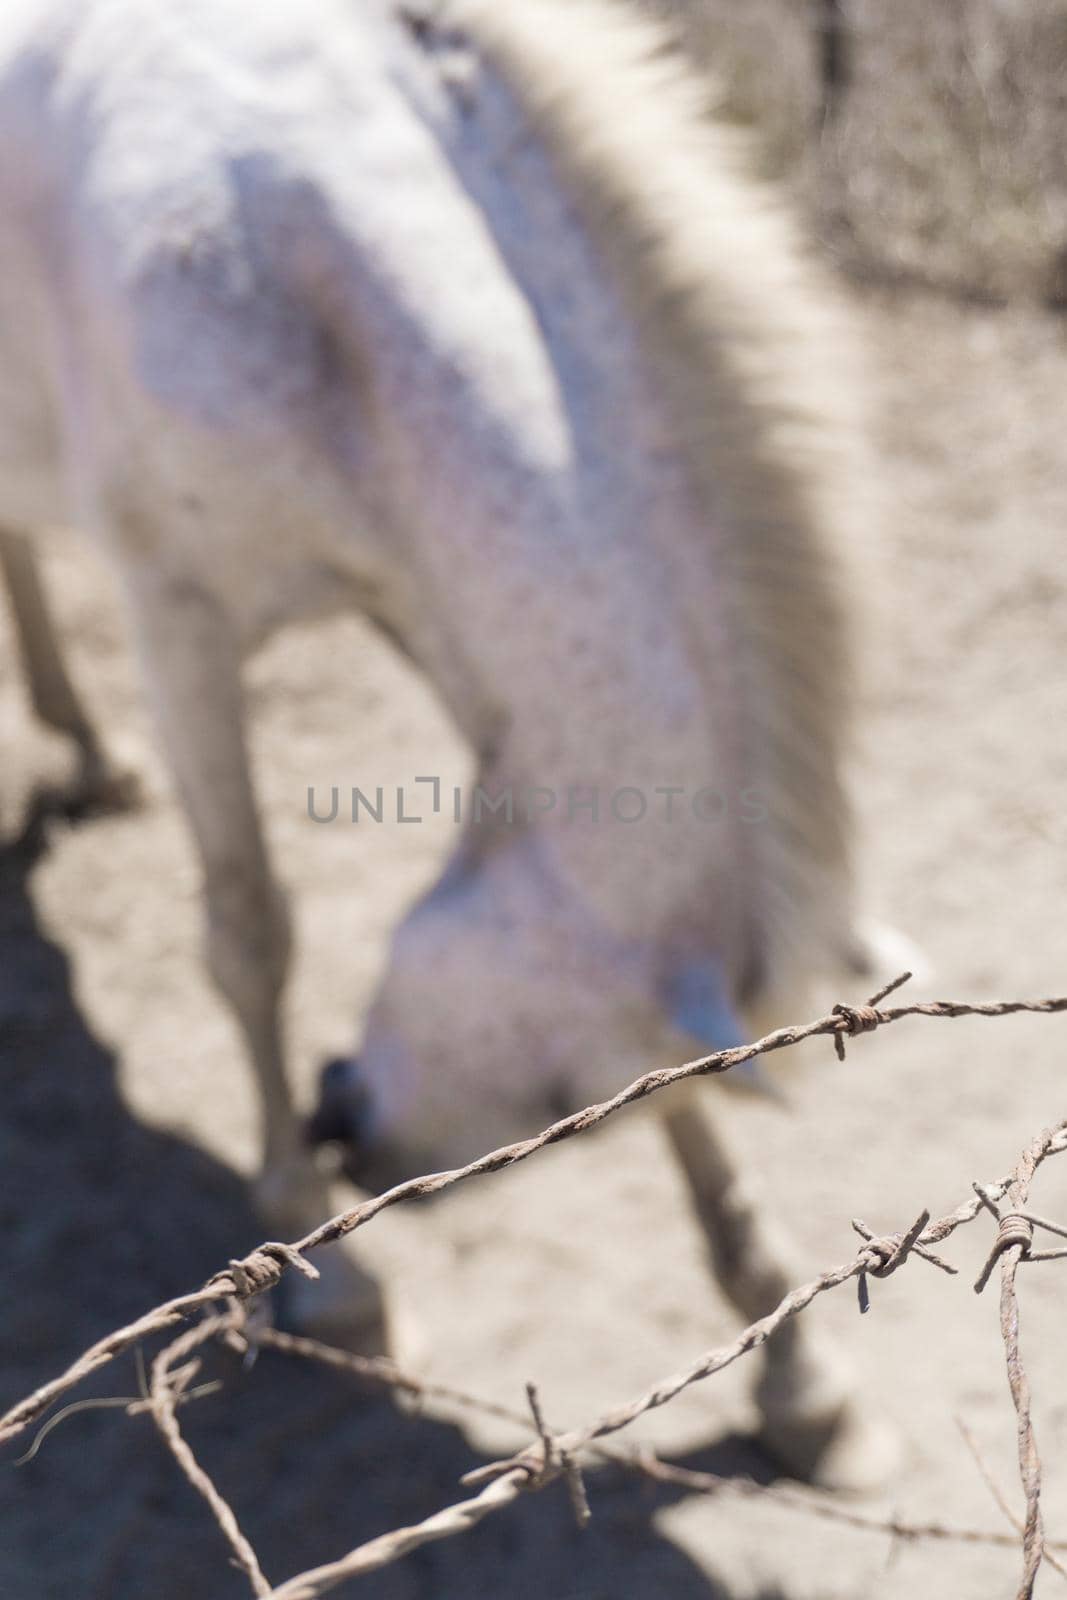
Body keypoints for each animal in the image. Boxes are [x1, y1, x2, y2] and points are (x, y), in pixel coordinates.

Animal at [2, 0, 895, 1484]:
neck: (306, 274)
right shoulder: (179, 619)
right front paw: (331, 1286)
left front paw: (796, 1370)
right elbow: (249, 933)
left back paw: (82, 748)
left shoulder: (431, 618)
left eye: (568, 1095)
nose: (350, 1136)